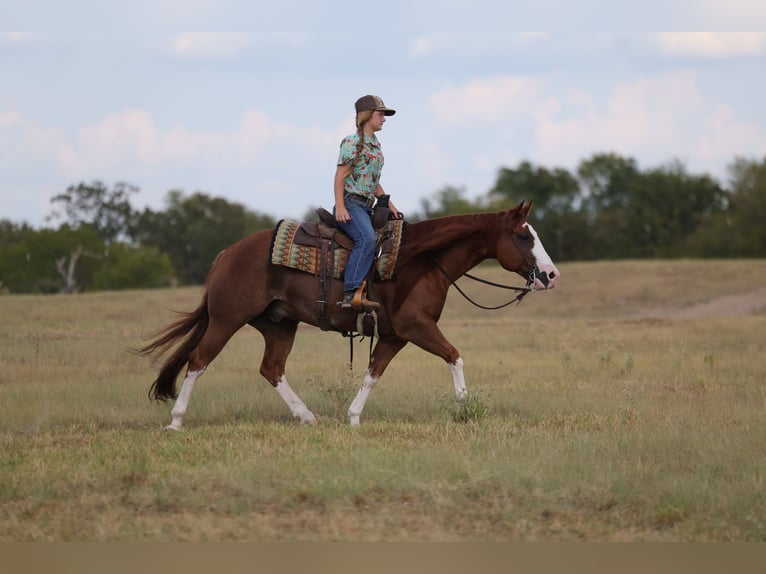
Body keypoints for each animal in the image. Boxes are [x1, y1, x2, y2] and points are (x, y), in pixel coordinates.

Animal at [138, 200, 559, 429]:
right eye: (524, 236)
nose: (551, 275)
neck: (423, 260)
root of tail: (227, 254)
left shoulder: (394, 335)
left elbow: (374, 373)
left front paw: (354, 416)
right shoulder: (416, 327)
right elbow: (455, 356)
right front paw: (464, 407)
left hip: (279, 325)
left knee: (271, 369)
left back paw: (306, 415)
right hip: (227, 319)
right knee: (198, 361)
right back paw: (176, 420)